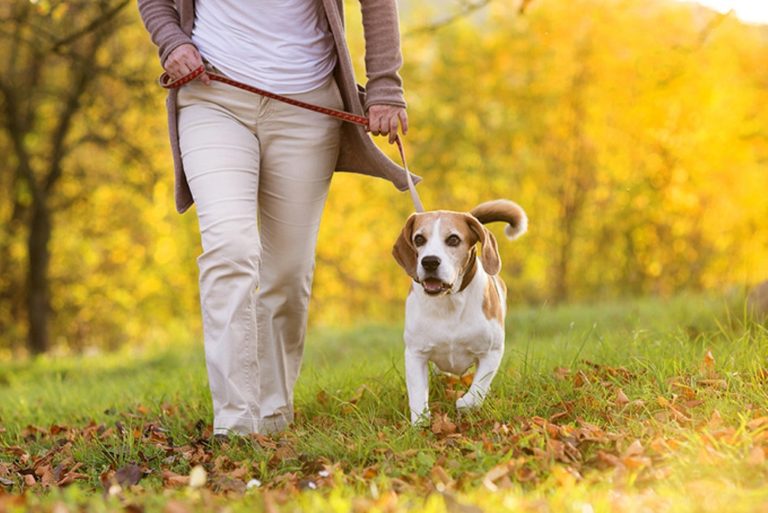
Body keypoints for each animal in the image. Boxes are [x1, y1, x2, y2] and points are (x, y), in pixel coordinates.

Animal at [390, 198, 528, 422]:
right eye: (419, 239)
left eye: (453, 239)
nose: (429, 261)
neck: (450, 301)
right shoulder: (415, 354)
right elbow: (418, 393)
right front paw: (420, 422)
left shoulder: (492, 352)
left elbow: (478, 388)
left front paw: (464, 403)